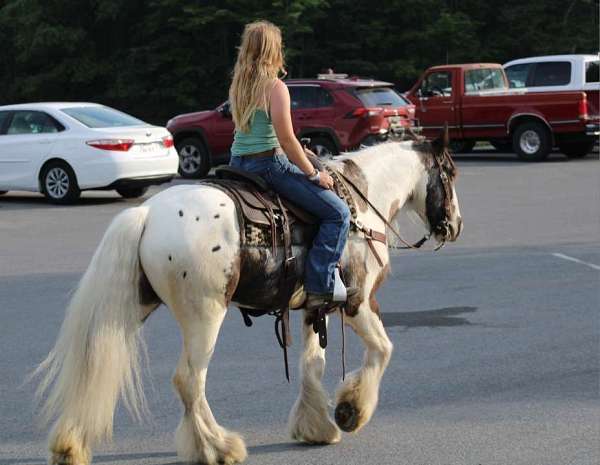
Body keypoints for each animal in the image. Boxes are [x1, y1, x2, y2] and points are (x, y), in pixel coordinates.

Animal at [31, 128, 464, 464]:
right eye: (450, 173)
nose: (455, 225)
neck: (359, 206)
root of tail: (147, 213)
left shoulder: (314, 307)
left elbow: (312, 364)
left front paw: (316, 427)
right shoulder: (356, 302)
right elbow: (383, 349)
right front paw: (350, 411)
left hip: (129, 309)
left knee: (95, 365)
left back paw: (70, 446)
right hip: (205, 315)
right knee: (189, 380)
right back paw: (217, 447)